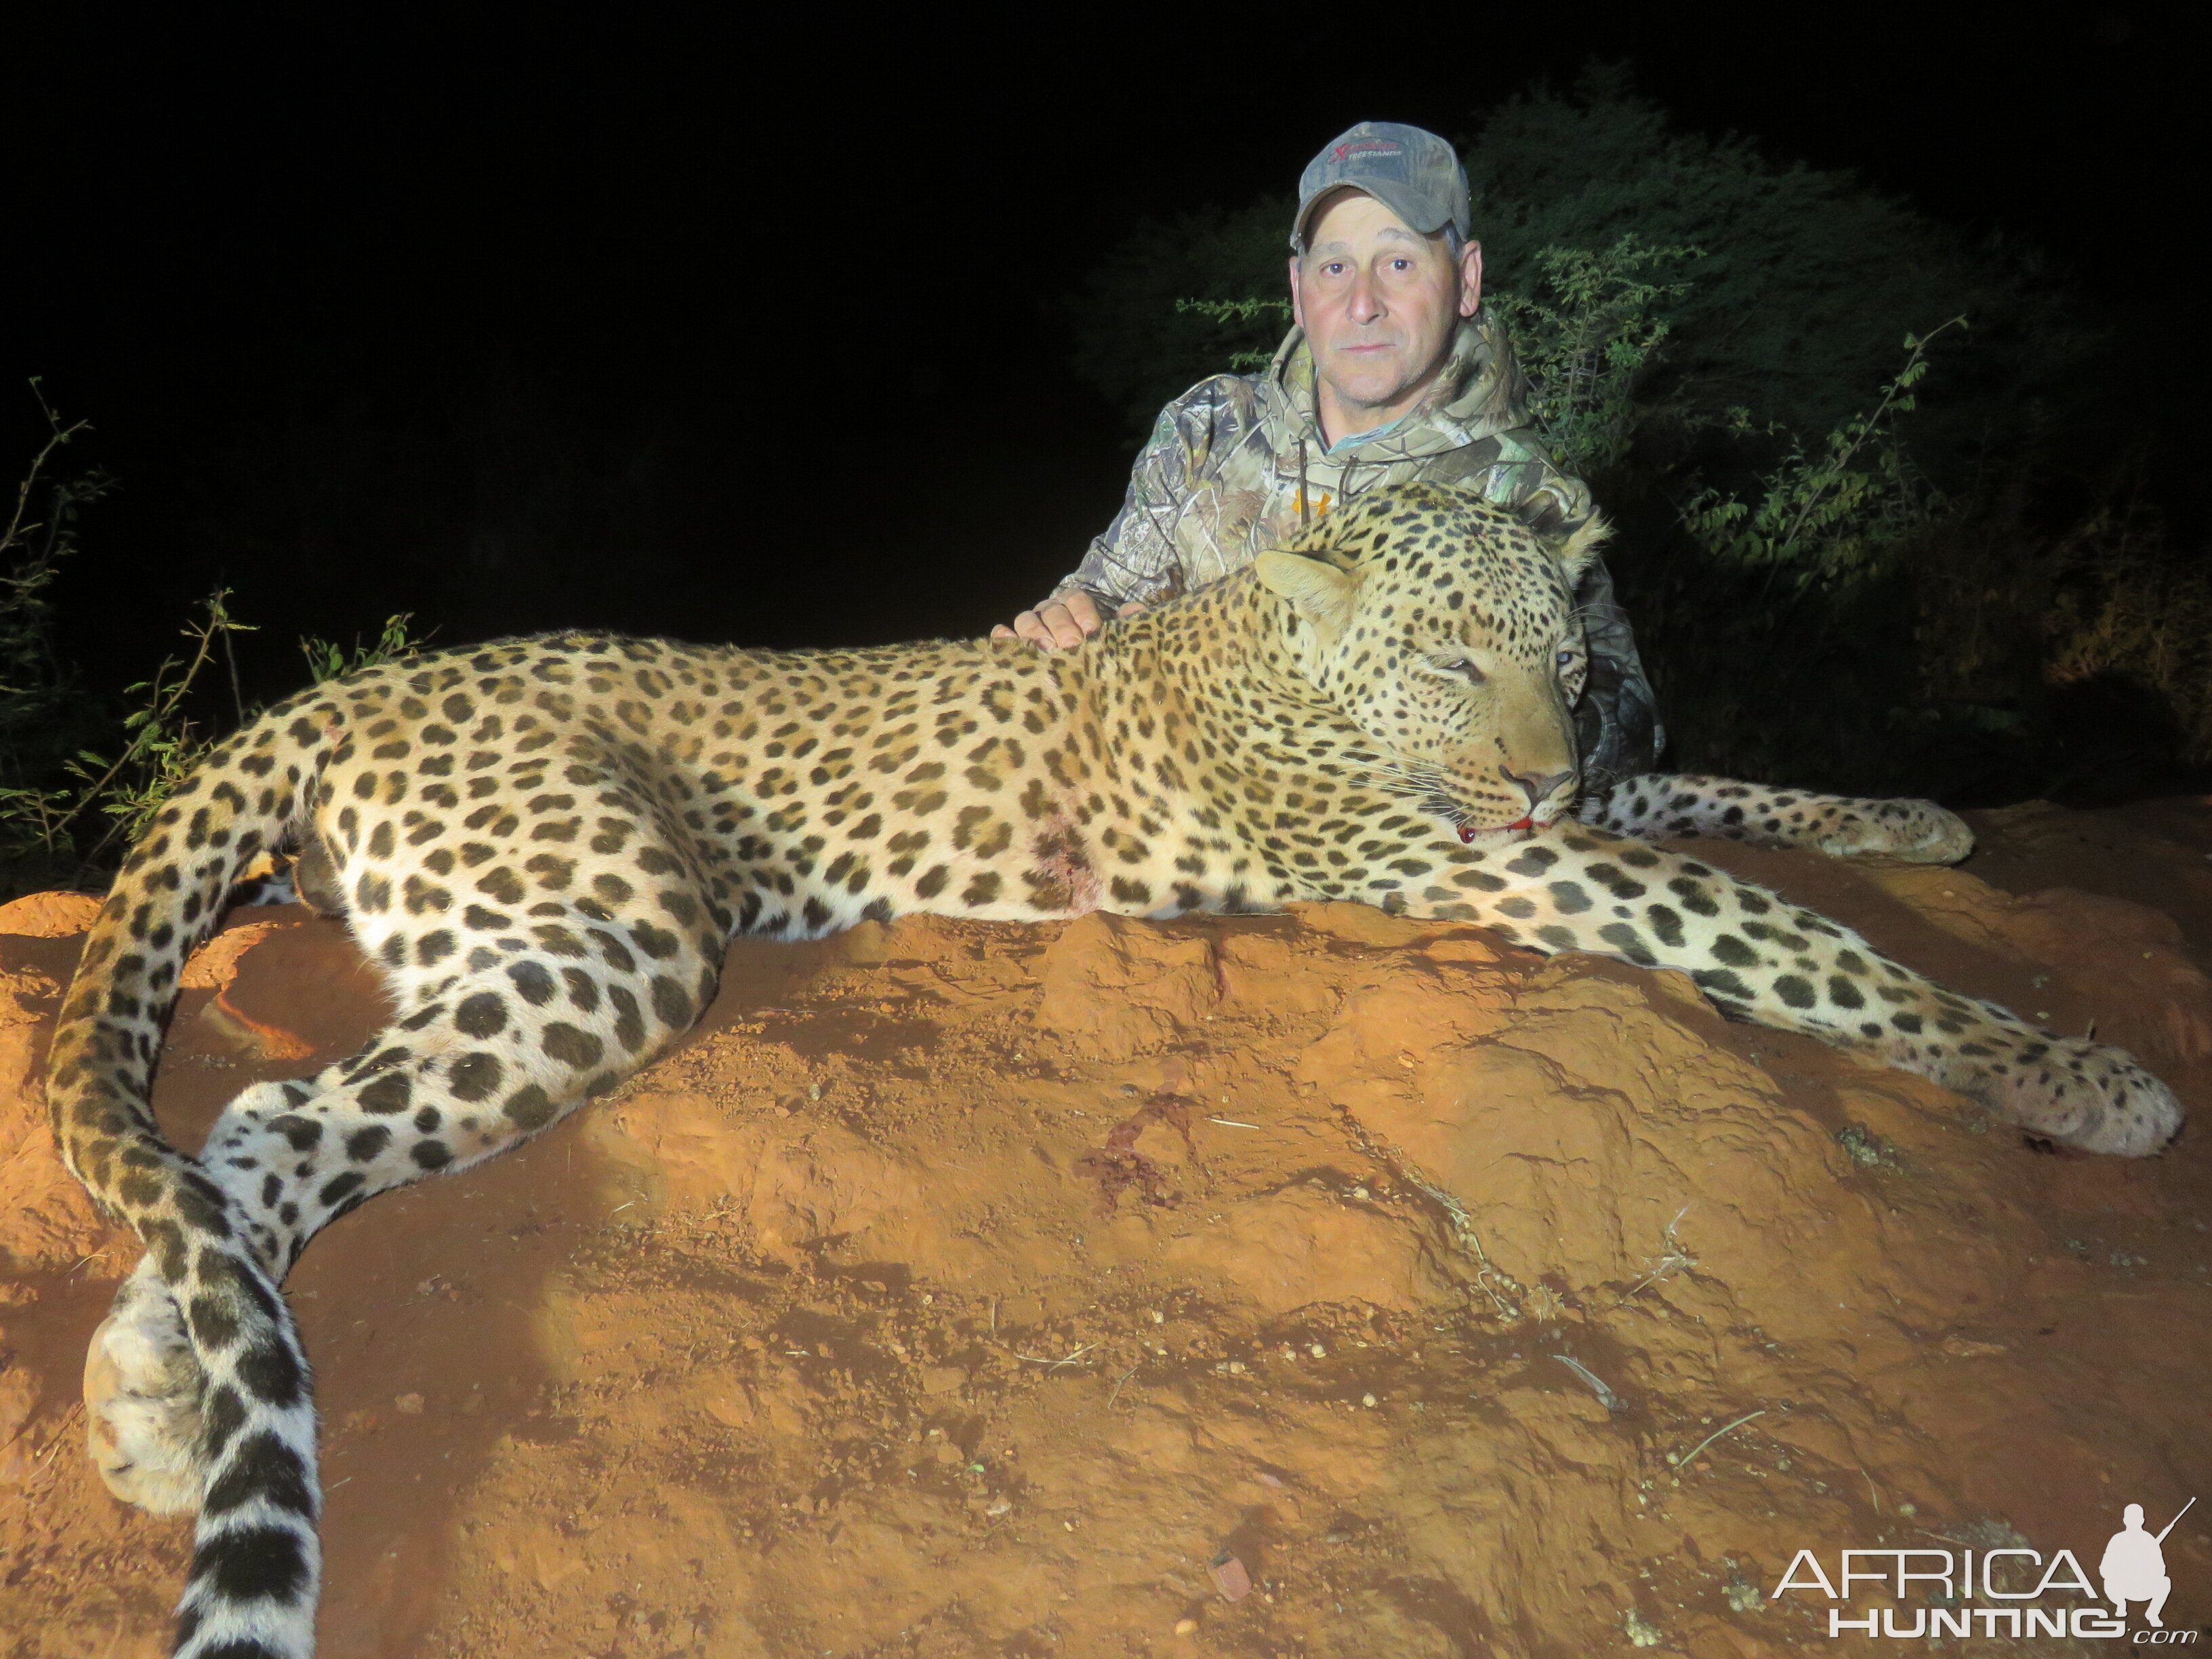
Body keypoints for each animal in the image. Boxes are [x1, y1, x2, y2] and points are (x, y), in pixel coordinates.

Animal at [43, 480, 2185, 1659]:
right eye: (1449, 659)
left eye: (1564, 657)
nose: (1532, 760)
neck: (1303, 659)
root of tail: (344, 687)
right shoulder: (1483, 857)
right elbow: (1768, 932)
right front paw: (2066, 1071)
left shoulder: (1562, 810)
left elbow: (1718, 791)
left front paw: (1913, 817)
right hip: (615, 932)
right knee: (266, 1122)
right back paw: (160, 1398)